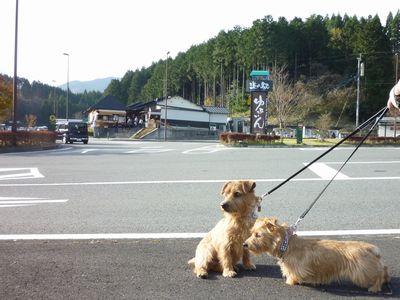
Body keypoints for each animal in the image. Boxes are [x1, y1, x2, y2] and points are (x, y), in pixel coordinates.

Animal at [242, 218, 390, 292]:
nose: (244, 244)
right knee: (383, 269)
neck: (286, 244)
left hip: (362, 273)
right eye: (252, 232)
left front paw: (290, 282)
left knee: (379, 274)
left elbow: (293, 276)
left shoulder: (296, 269)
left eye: (258, 235)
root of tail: (372, 249)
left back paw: (374, 288)